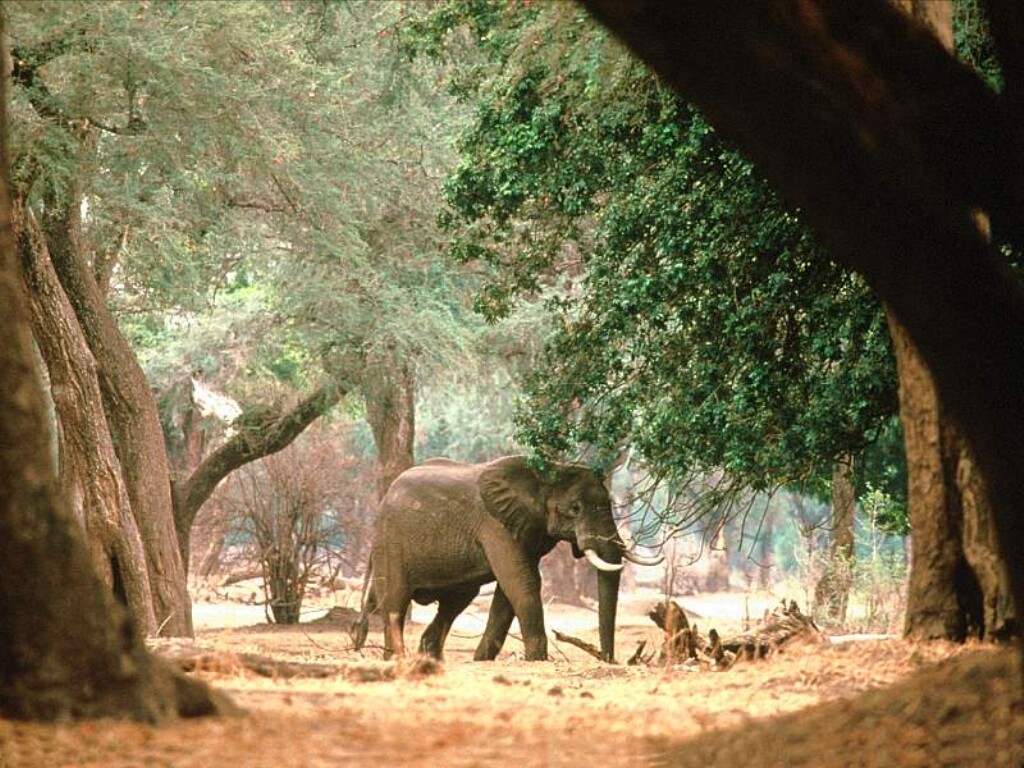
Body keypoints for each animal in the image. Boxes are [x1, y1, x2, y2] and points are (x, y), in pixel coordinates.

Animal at [352, 455, 660, 662]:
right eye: (575, 509)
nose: (609, 659)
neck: (547, 472)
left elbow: (509, 591)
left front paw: (482, 661)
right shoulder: (495, 525)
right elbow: (522, 582)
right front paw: (537, 659)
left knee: (454, 603)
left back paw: (429, 660)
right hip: (389, 543)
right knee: (395, 600)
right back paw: (396, 659)